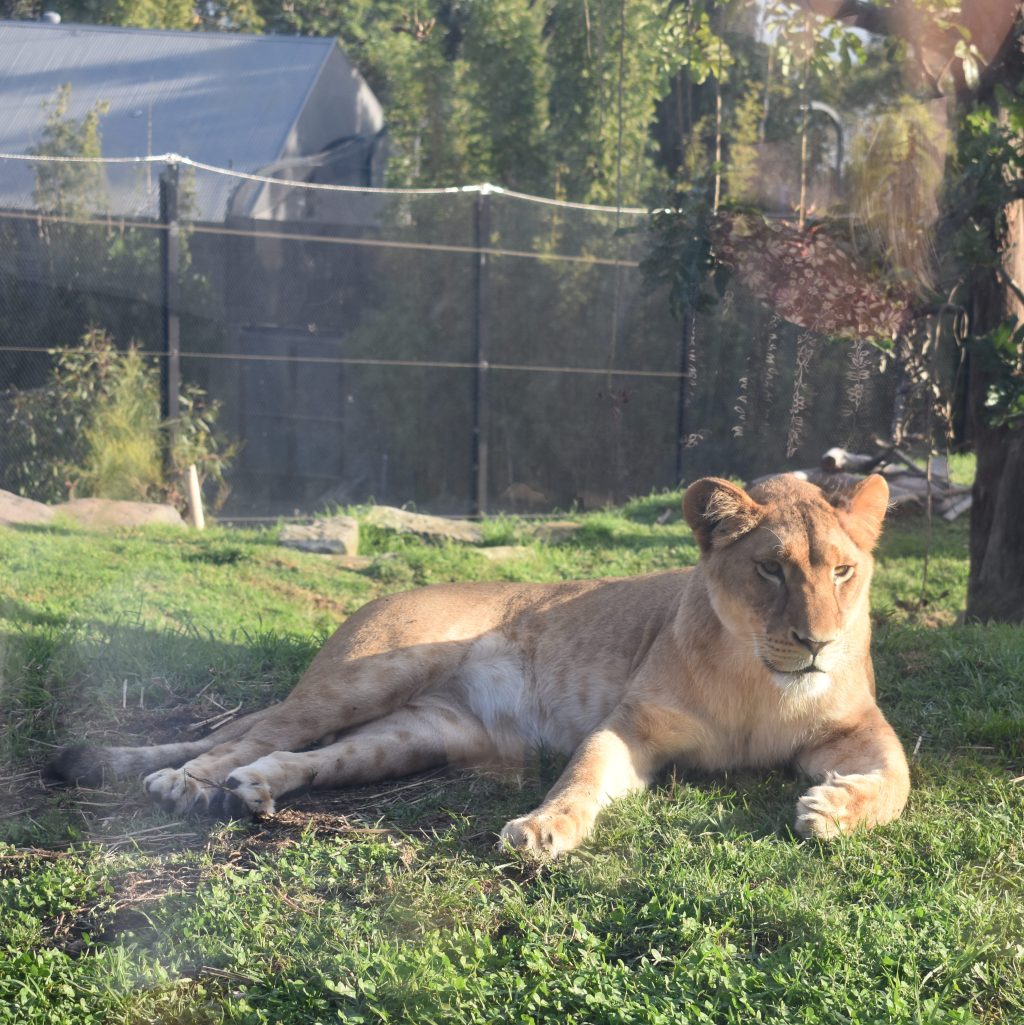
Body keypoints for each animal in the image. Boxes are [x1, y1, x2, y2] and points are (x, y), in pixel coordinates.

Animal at [47, 475, 910, 854]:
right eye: (770, 569)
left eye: (842, 571)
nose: (816, 642)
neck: (758, 680)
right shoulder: (632, 725)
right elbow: (582, 775)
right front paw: (543, 827)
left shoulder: (857, 728)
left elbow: (898, 779)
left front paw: (833, 810)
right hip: (362, 676)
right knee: (244, 735)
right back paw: (186, 783)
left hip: (413, 734)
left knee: (300, 755)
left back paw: (252, 791)